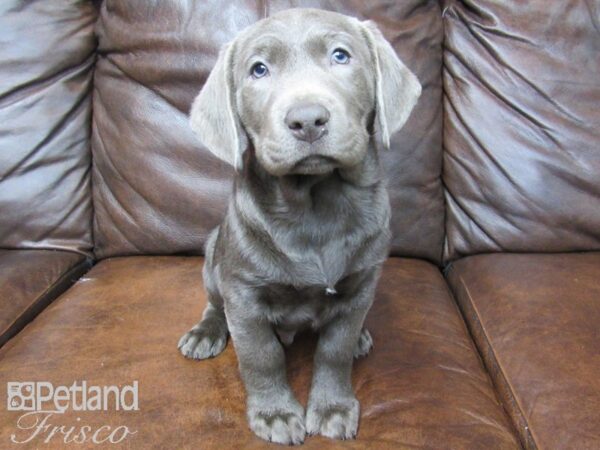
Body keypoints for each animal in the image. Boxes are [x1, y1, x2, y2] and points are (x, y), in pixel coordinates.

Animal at [178, 7, 422, 446]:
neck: (315, 207)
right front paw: (274, 413)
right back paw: (205, 332)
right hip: (212, 254)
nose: (307, 120)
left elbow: (334, 350)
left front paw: (332, 407)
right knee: (214, 304)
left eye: (341, 56)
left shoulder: (361, 285)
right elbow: (261, 356)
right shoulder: (244, 295)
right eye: (258, 69)